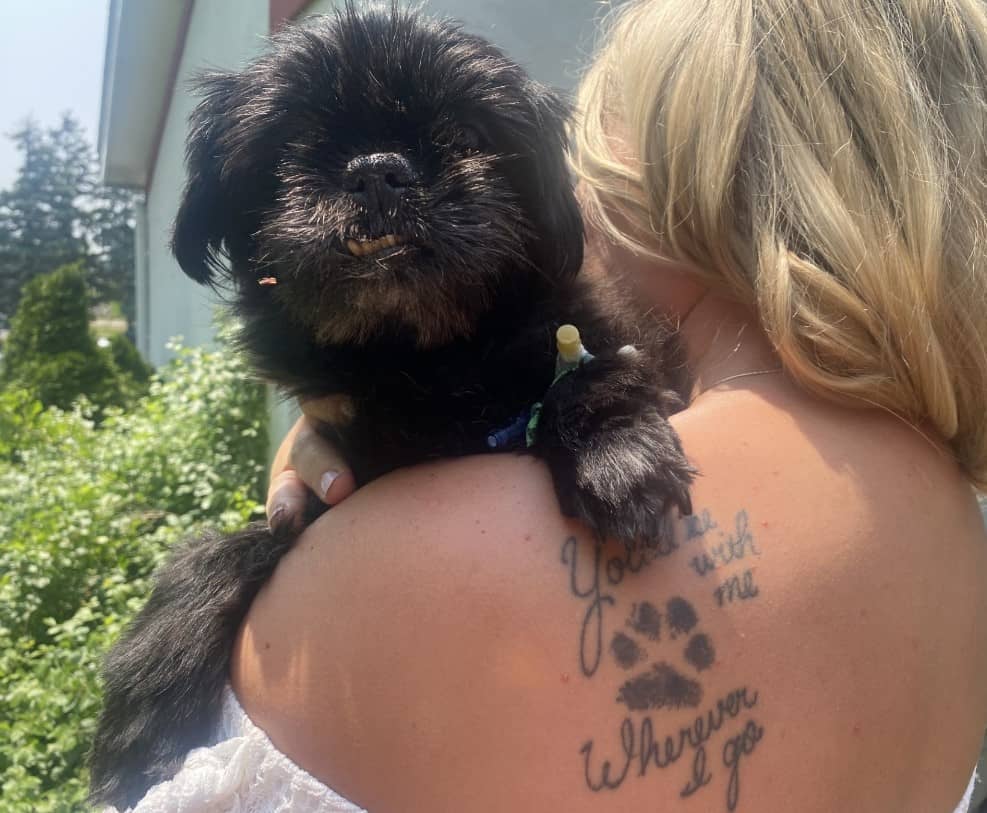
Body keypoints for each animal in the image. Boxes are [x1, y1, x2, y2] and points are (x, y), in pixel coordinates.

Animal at [90, 4, 696, 804]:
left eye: (467, 135)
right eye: (293, 141)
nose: (377, 168)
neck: (421, 364)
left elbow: (586, 372)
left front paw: (616, 451)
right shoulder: (327, 493)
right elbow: (217, 551)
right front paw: (142, 713)